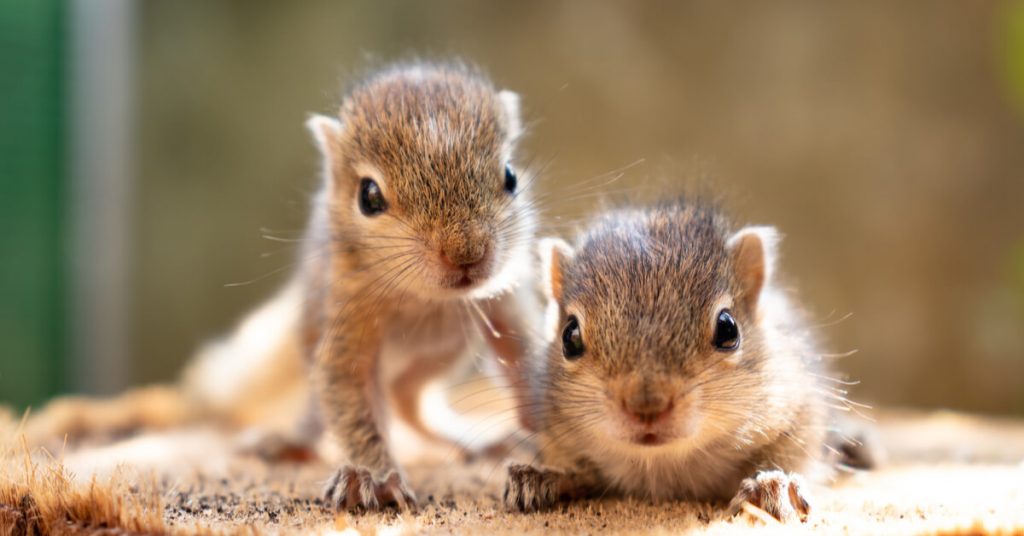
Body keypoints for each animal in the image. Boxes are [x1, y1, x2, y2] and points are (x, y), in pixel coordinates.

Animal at [294, 64, 540, 512]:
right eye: (368, 196)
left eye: (511, 175)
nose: (466, 253)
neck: (427, 298)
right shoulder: (347, 316)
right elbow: (351, 401)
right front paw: (373, 477)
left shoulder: (506, 300)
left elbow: (525, 357)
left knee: (409, 401)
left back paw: (478, 442)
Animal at [501, 198, 864, 522]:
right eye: (570, 337)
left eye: (728, 328)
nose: (646, 407)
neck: (660, 464)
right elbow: (577, 471)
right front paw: (540, 477)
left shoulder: (800, 412)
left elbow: (792, 457)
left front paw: (775, 484)